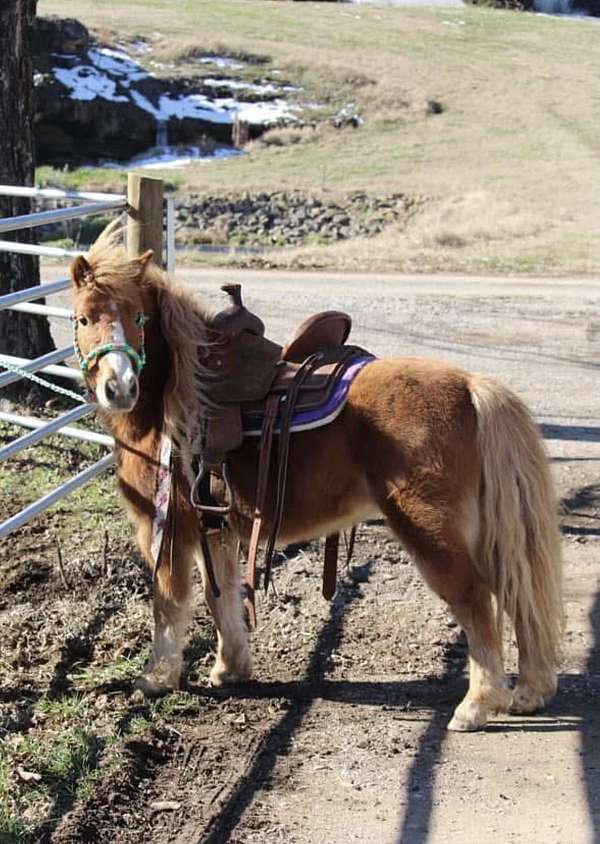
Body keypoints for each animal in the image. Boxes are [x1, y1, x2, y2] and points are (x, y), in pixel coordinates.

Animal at [69, 229, 564, 732]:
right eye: (83, 317)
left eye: (137, 316)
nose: (119, 389)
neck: (177, 395)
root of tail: (470, 385)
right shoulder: (217, 528)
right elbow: (221, 596)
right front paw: (230, 667)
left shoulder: (165, 526)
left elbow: (167, 601)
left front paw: (156, 678)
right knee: (518, 593)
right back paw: (530, 691)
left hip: (433, 535)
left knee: (477, 600)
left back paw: (477, 705)